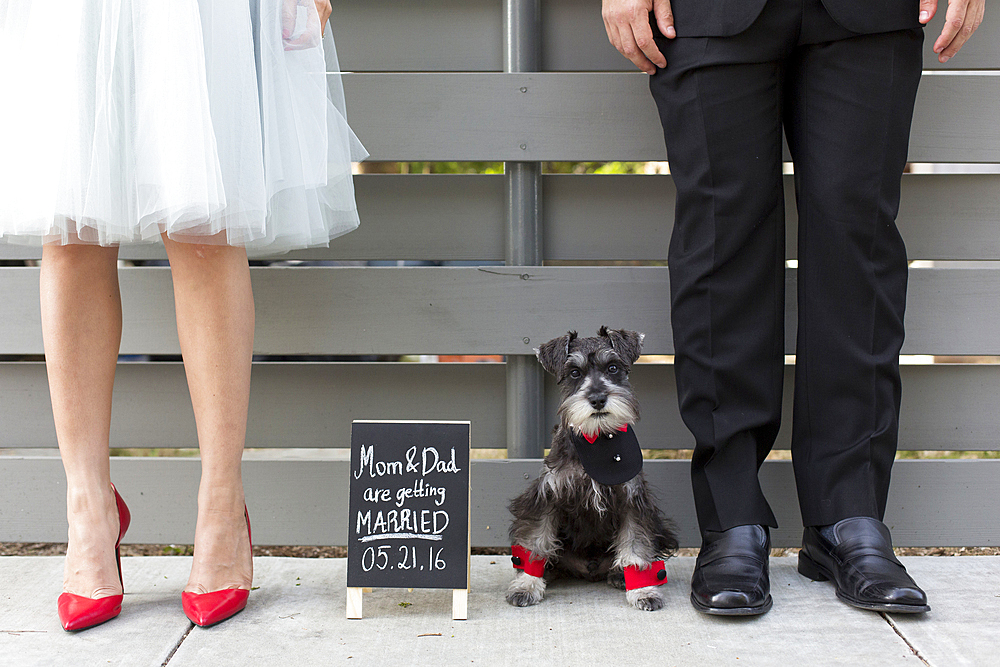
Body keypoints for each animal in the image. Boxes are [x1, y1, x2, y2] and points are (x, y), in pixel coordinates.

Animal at [508, 328, 680, 612]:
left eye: (613, 367)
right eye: (574, 373)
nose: (598, 399)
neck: (597, 439)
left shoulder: (632, 501)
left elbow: (636, 547)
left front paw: (643, 591)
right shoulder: (547, 497)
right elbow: (535, 542)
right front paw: (527, 586)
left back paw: (619, 575)